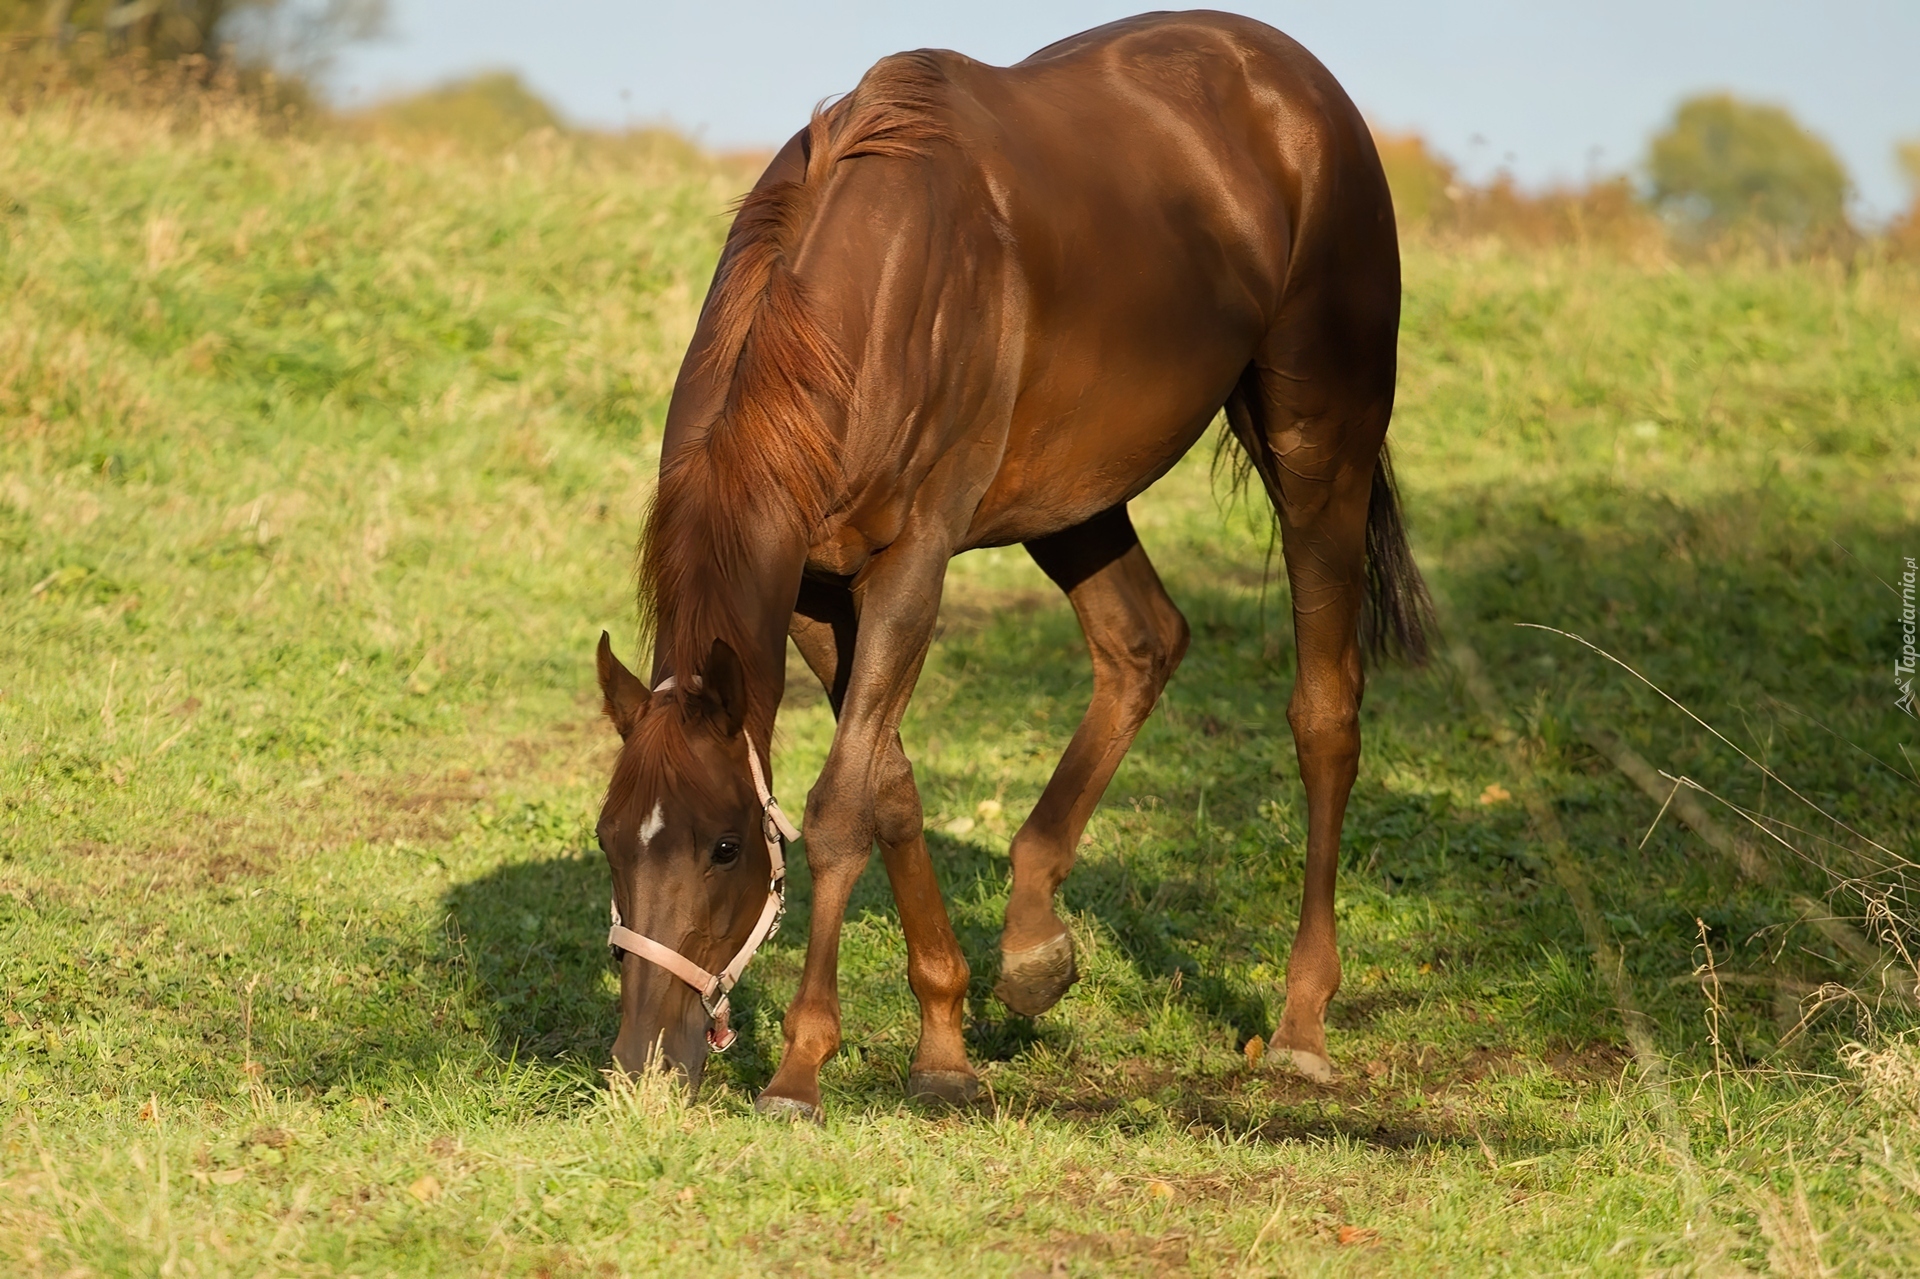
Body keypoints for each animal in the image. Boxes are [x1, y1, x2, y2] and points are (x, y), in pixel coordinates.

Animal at [595, 9, 1428, 1113]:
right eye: (609, 836)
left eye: (727, 844)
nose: (644, 1062)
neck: (872, 286)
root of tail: (1297, 83)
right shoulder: (816, 590)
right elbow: (889, 786)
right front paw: (945, 1041)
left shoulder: (912, 564)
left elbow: (837, 807)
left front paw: (803, 1064)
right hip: (1075, 497)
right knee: (1141, 644)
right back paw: (1033, 947)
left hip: (1319, 448)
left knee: (1325, 714)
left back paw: (1300, 1024)